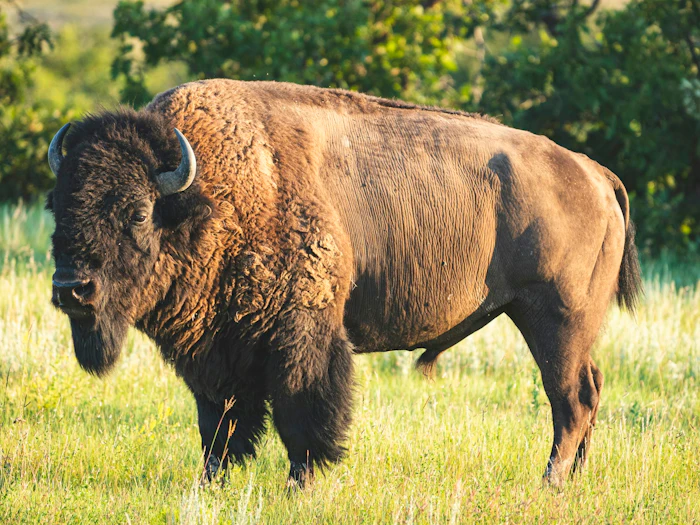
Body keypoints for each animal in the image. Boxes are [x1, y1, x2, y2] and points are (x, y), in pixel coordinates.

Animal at [47, 79, 641, 488]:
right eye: (58, 206)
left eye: (137, 213)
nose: (72, 288)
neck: (208, 198)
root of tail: (594, 173)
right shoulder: (216, 350)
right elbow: (219, 422)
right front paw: (211, 483)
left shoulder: (300, 334)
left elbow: (300, 409)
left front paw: (301, 483)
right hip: (566, 328)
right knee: (590, 390)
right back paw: (573, 479)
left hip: (553, 319)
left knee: (571, 399)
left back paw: (550, 482)